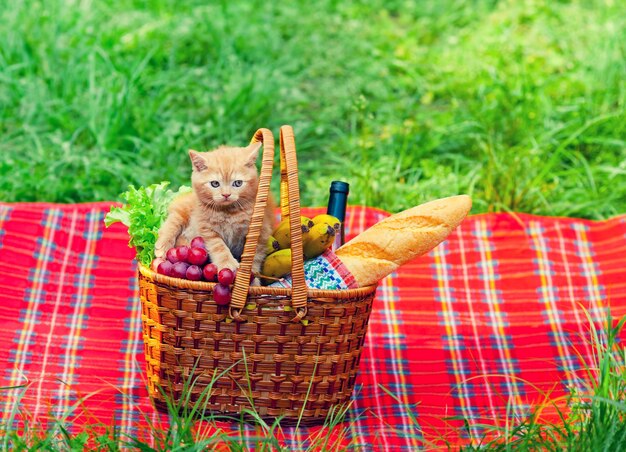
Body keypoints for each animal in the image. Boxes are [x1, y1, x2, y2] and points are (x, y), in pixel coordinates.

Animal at [154, 141, 272, 282]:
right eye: (215, 184)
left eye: (238, 183)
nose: (226, 194)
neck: (228, 212)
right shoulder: (207, 229)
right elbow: (218, 246)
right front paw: (227, 263)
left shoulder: (259, 231)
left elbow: (255, 255)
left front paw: (253, 279)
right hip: (184, 208)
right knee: (173, 221)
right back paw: (162, 246)